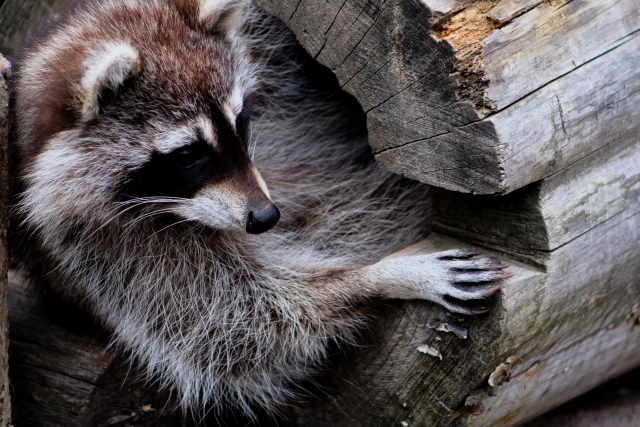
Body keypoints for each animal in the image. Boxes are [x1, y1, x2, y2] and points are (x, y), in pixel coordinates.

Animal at [8, 0, 510, 418]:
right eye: (186, 155)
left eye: (242, 121)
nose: (266, 217)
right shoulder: (107, 257)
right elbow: (252, 325)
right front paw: (385, 274)